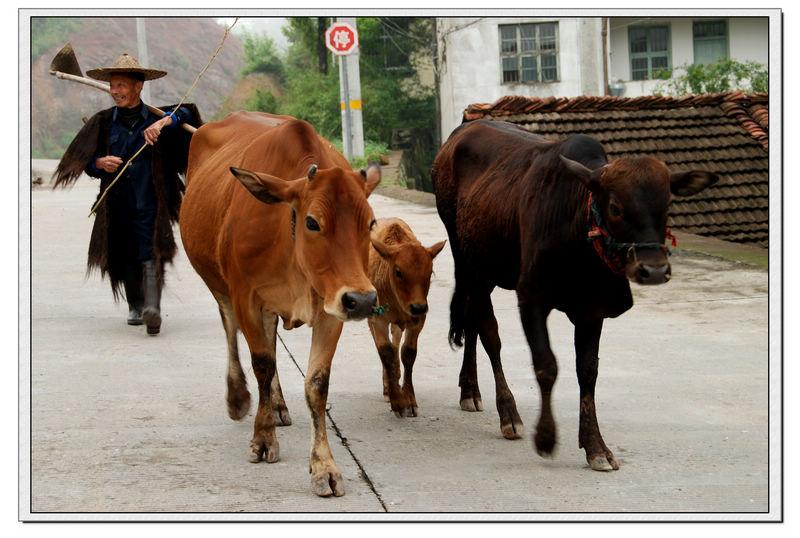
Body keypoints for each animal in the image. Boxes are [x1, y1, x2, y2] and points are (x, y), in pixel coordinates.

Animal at [180, 111, 380, 496]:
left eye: (371, 222)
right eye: (312, 222)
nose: (363, 300)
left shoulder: (332, 308)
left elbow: (316, 385)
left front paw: (324, 466)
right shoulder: (245, 296)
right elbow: (262, 363)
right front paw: (262, 439)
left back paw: (276, 404)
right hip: (217, 283)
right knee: (231, 331)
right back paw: (240, 397)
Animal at [368, 216, 444, 416]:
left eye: (430, 272)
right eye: (398, 272)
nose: (418, 307)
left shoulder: (417, 320)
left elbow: (407, 353)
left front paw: (409, 400)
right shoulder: (378, 319)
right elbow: (385, 352)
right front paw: (397, 401)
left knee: (396, 341)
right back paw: (388, 386)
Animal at [432, 120, 720, 468]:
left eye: (666, 206)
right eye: (615, 207)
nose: (653, 270)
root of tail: (460, 133)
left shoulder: (593, 309)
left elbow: (588, 371)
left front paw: (596, 446)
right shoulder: (531, 298)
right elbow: (547, 365)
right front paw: (545, 437)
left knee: (471, 318)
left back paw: (470, 390)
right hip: (469, 261)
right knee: (489, 334)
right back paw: (507, 413)